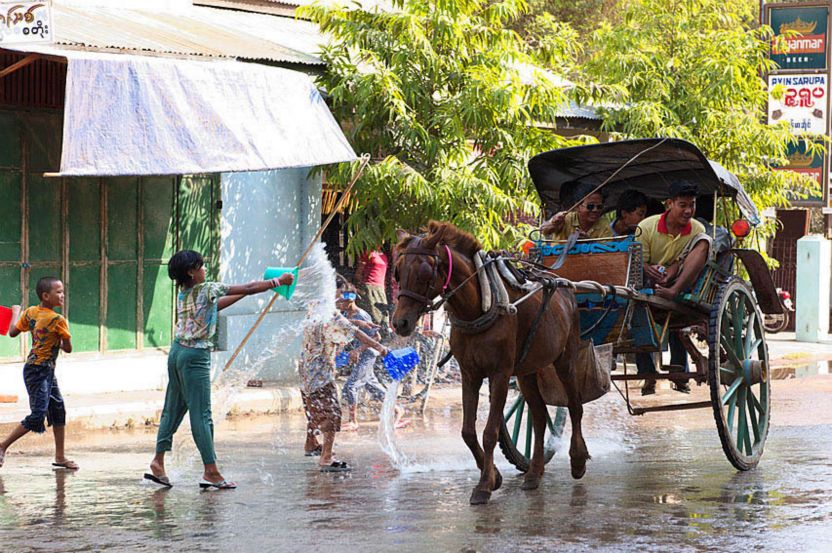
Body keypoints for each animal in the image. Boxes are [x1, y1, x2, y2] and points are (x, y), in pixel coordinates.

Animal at [394, 221, 588, 504]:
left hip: (566, 358)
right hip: (528, 370)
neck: (479, 307)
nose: (400, 322)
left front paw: (484, 485)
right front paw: (495, 476)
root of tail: (561, 283)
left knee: (574, 406)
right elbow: (467, 431)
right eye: (398, 272)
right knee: (539, 415)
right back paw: (534, 473)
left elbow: (490, 432)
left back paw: (578, 460)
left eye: (425, 272)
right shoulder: (469, 374)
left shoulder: (500, 374)